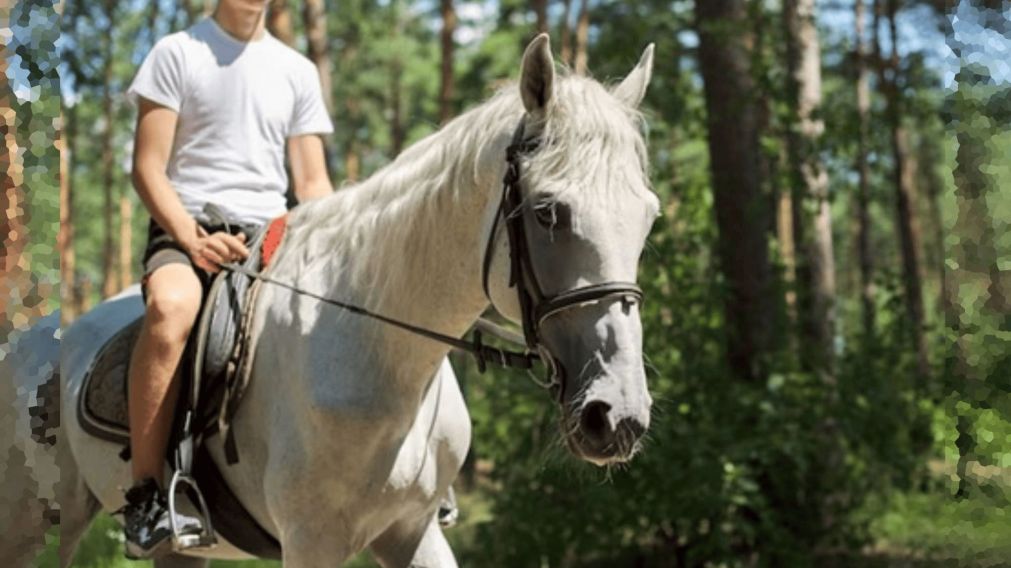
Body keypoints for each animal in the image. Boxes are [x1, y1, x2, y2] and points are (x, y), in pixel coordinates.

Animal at [6, 34, 658, 567]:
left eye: (649, 216)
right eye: (548, 211)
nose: (615, 418)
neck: (380, 354)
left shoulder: (413, 531)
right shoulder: (312, 540)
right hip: (37, 524)